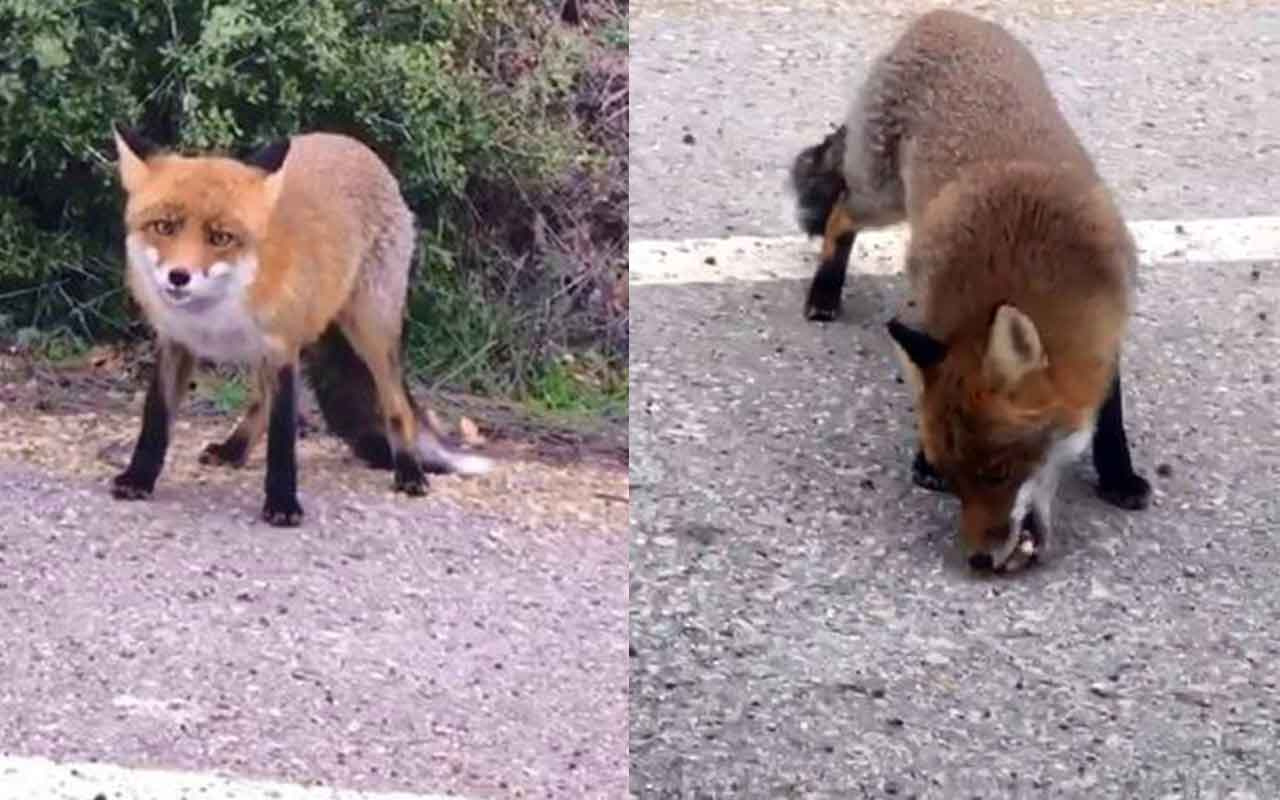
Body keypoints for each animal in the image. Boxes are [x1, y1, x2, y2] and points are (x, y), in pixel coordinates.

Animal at [112, 124, 491, 524]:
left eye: (221, 237)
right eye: (164, 226)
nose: (178, 276)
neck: (214, 317)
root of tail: (352, 143)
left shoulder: (282, 349)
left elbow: (283, 438)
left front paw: (282, 503)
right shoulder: (176, 342)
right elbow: (155, 421)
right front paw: (138, 478)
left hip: (369, 330)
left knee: (397, 407)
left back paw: (409, 472)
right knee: (261, 402)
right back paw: (234, 450)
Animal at [783, 6, 1157, 568]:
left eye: (999, 472)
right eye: (955, 479)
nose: (978, 559)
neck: (1031, 269)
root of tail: (939, 15)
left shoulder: (1109, 328)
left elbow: (1110, 415)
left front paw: (1118, 474)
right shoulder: (934, 306)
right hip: (882, 198)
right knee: (840, 213)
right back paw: (824, 291)